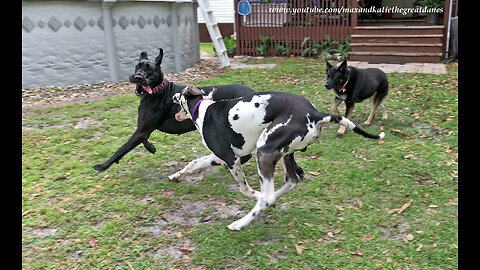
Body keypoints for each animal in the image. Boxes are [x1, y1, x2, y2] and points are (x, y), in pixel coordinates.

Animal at [174, 85, 384, 229]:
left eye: (178, 98)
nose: (174, 100)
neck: (203, 109)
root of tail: (315, 113)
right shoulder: (220, 157)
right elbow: (194, 162)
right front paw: (177, 175)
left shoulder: (232, 159)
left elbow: (245, 189)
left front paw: (254, 195)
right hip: (285, 154)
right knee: (292, 181)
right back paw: (274, 199)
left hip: (264, 151)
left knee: (267, 197)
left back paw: (241, 222)